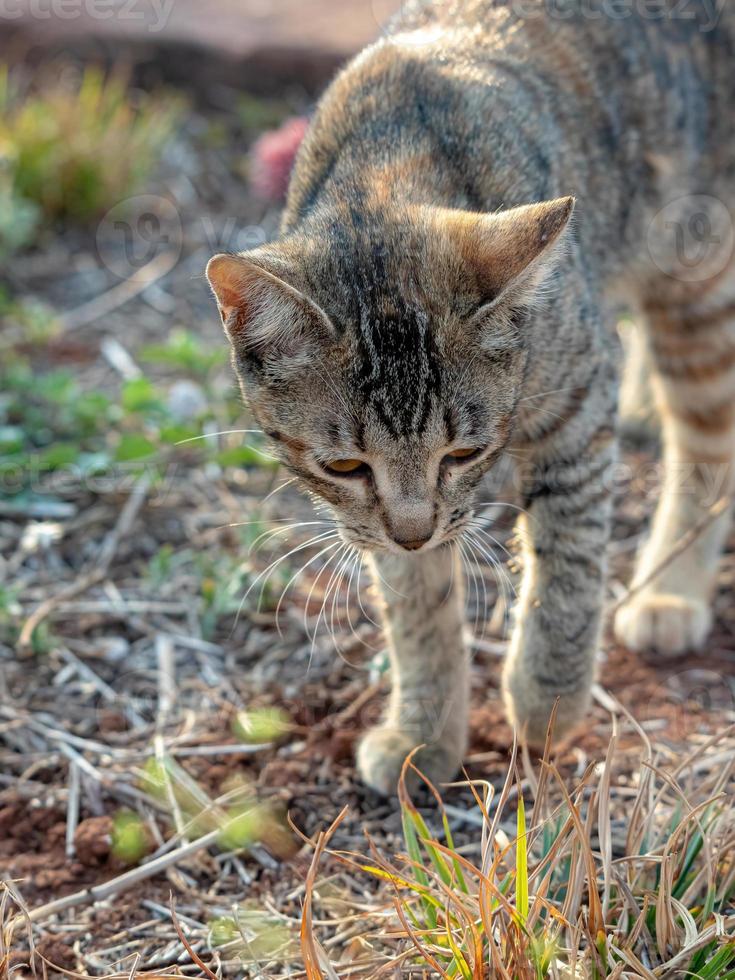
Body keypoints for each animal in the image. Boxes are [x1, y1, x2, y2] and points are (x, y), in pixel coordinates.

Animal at [207, 0, 735, 796]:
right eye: (344, 467)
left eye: (463, 452)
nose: (415, 531)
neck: (387, 173)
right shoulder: (372, 522)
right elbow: (416, 607)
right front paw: (424, 731)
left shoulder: (578, 399)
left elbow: (567, 558)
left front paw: (546, 698)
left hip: (699, 276)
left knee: (706, 440)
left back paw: (669, 590)